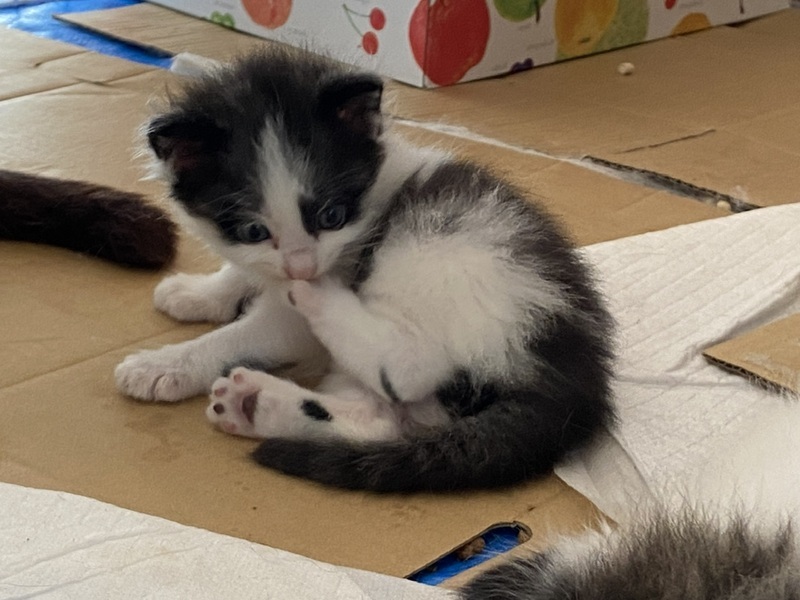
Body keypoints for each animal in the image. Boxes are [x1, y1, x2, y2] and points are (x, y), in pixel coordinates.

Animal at [114, 47, 615, 492]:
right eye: (254, 230)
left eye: (331, 216)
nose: (304, 269)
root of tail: (575, 378)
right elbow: (244, 271)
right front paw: (197, 293)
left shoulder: (307, 305)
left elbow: (243, 335)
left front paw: (164, 366)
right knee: (381, 421)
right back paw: (256, 403)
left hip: (443, 252)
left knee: (410, 366)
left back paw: (318, 306)